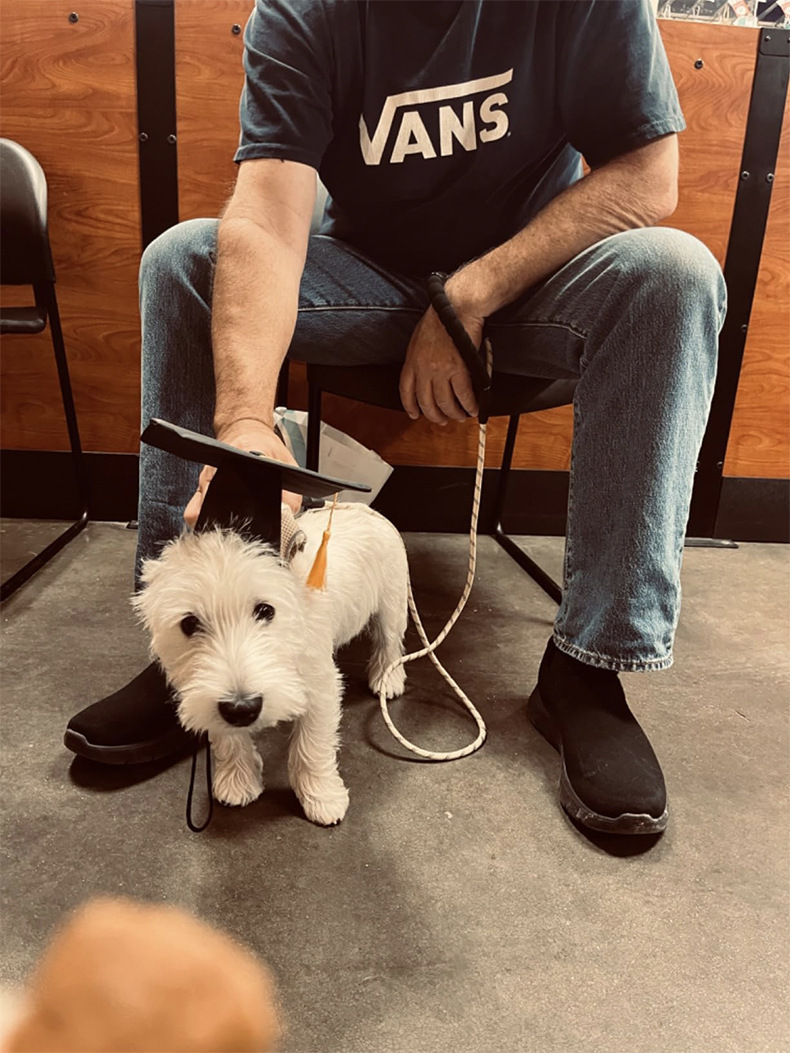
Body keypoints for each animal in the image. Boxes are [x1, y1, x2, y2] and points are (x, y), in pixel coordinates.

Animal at [132, 503, 408, 825]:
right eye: (189, 623)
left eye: (265, 610)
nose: (243, 708)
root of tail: (361, 507)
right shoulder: (208, 696)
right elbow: (227, 738)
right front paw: (238, 781)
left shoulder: (320, 685)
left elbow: (312, 744)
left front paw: (322, 797)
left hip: (392, 602)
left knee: (389, 642)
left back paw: (388, 680)